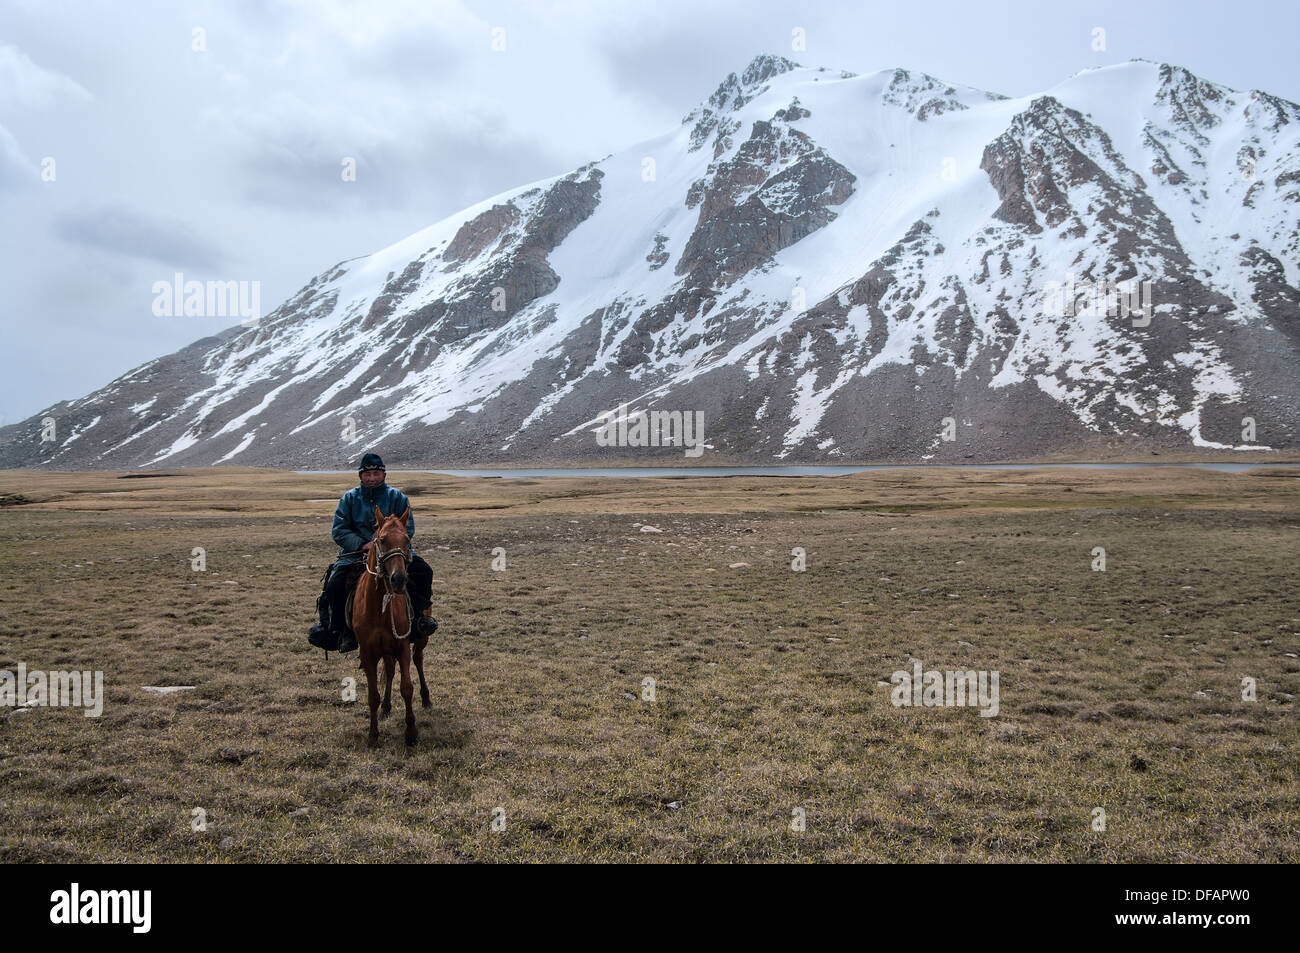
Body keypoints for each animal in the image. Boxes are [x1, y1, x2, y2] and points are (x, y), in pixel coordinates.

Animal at [356, 501, 431, 748]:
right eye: (382, 540)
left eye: (407, 540)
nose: (399, 579)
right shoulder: (367, 653)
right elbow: (373, 695)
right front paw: (373, 735)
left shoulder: (402, 645)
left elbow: (407, 688)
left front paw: (411, 732)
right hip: (385, 650)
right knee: (389, 671)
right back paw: (386, 707)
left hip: (421, 639)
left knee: (418, 661)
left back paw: (427, 698)